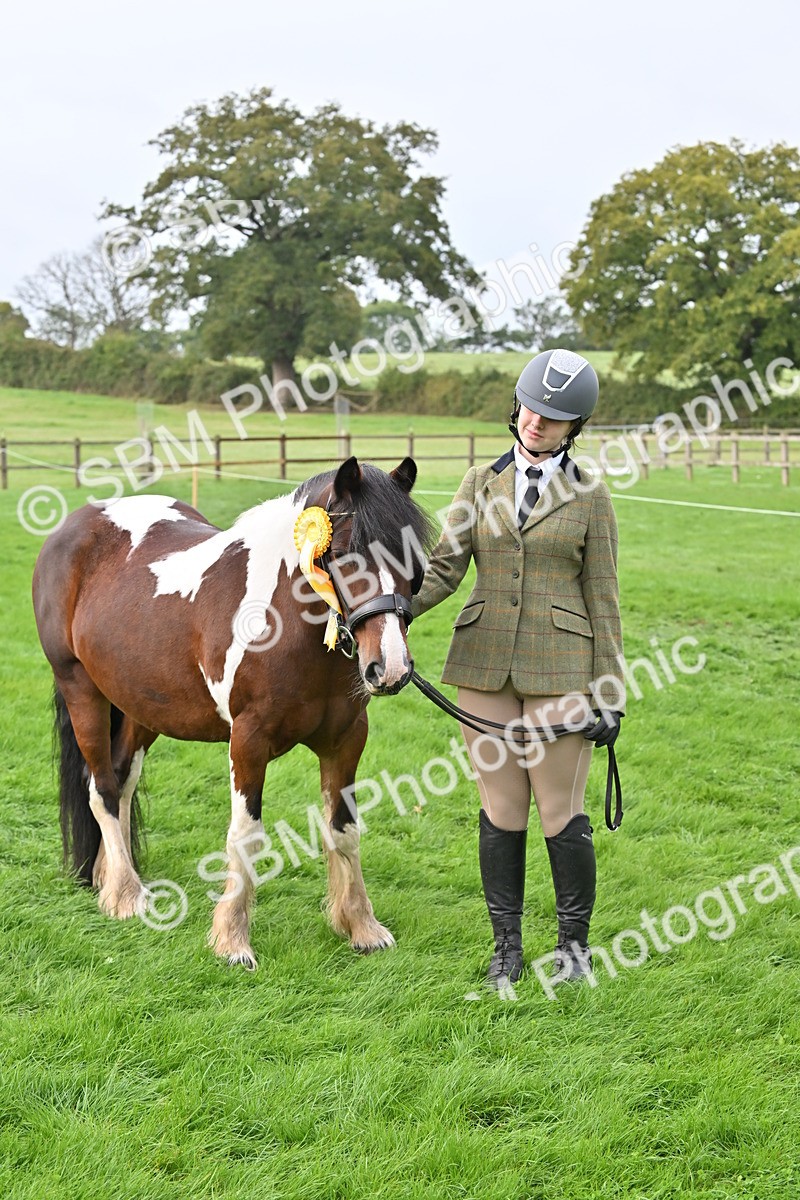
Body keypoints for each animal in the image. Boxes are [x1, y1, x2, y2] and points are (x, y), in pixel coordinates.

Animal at [32, 455, 434, 969]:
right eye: (344, 555)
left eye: (414, 562)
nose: (391, 668)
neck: (285, 622)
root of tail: (75, 525)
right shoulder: (248, 741)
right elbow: (246, 835)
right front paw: (232, 939)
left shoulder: (346, 740)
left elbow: (343, 830)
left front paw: (362, 927)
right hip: (80, 689)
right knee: (100, 789)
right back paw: (125, 894)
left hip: (139, 706)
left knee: (121, 782)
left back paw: (111, 877)